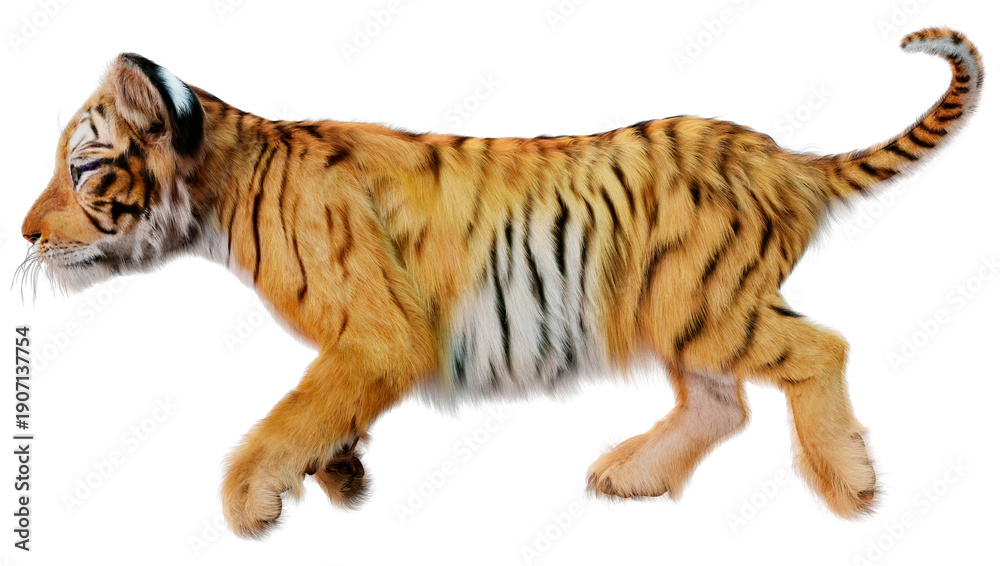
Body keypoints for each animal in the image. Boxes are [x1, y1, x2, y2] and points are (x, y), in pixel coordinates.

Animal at [19, 27, 982, 538]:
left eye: (83, 168)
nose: (24, 236)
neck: (224, 183)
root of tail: (787, 158)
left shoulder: (381, 331)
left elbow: (291, 411)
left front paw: (253, 497)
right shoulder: (361, 345)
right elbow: (324, 408)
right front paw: (341, 473)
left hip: (709, 304)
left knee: (821, 348)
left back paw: (850, 486)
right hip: (683, 308)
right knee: (724, 403)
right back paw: (634, 476)